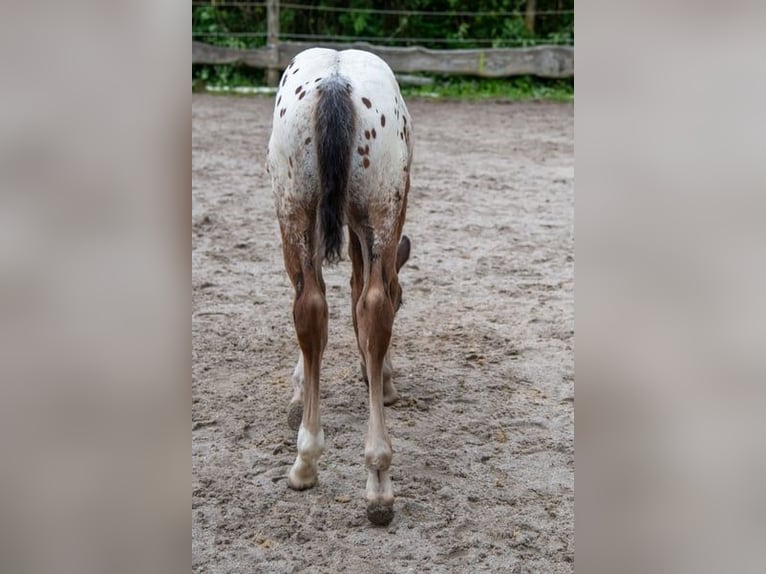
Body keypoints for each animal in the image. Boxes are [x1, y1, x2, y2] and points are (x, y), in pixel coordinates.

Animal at [266, 48, 413, 525]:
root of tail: (335, 82)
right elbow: (357, 293)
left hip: (298, 210)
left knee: (320, 305)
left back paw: (316, 463)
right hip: (372, 210)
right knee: (351, 305)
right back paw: (371, 478)